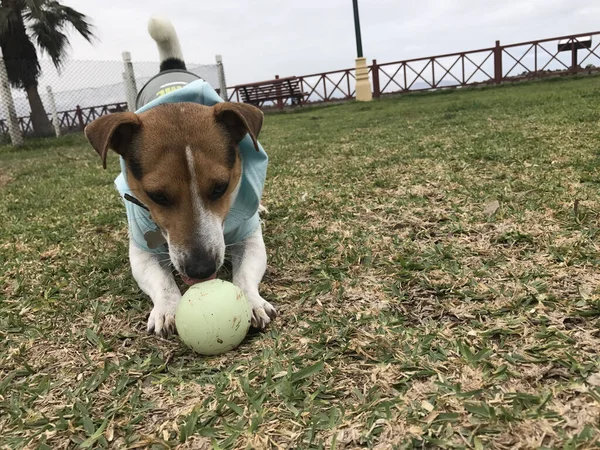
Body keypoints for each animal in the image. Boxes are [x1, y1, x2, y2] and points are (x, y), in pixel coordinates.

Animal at [84, 15, 276, 336]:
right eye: (157, 196)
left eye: (221, 187)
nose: (201, 269)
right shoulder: (140, 252)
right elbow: (160, 280)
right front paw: (167, 308)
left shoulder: (249, 237)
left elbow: (246, 272)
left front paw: (251, 300)